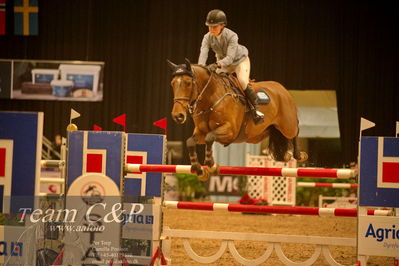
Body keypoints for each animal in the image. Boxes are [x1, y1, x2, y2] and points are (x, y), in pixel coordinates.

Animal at [167, 58, 308, 181]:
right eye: (172, 84)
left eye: (188, 83)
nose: (178, 116)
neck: (210, 100)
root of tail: (283, 89)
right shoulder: (201, 132)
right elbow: (190, 142)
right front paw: (199, 170)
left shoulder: (230, 131)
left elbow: (210, 137)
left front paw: (212, 165)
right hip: (259, 135)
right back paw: (287, 155)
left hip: (287, 126)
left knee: (295, 131)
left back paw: (299, 155)